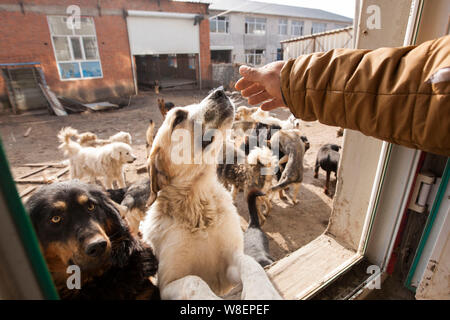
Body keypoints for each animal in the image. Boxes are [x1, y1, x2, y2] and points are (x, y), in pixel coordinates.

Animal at [141, 88, 282, 300]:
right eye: (178, 117)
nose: (220, 91)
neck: (199, 203)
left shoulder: (230, 265)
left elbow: (251, 263)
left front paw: (262, 293)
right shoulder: (166, 285)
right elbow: (194, 280)